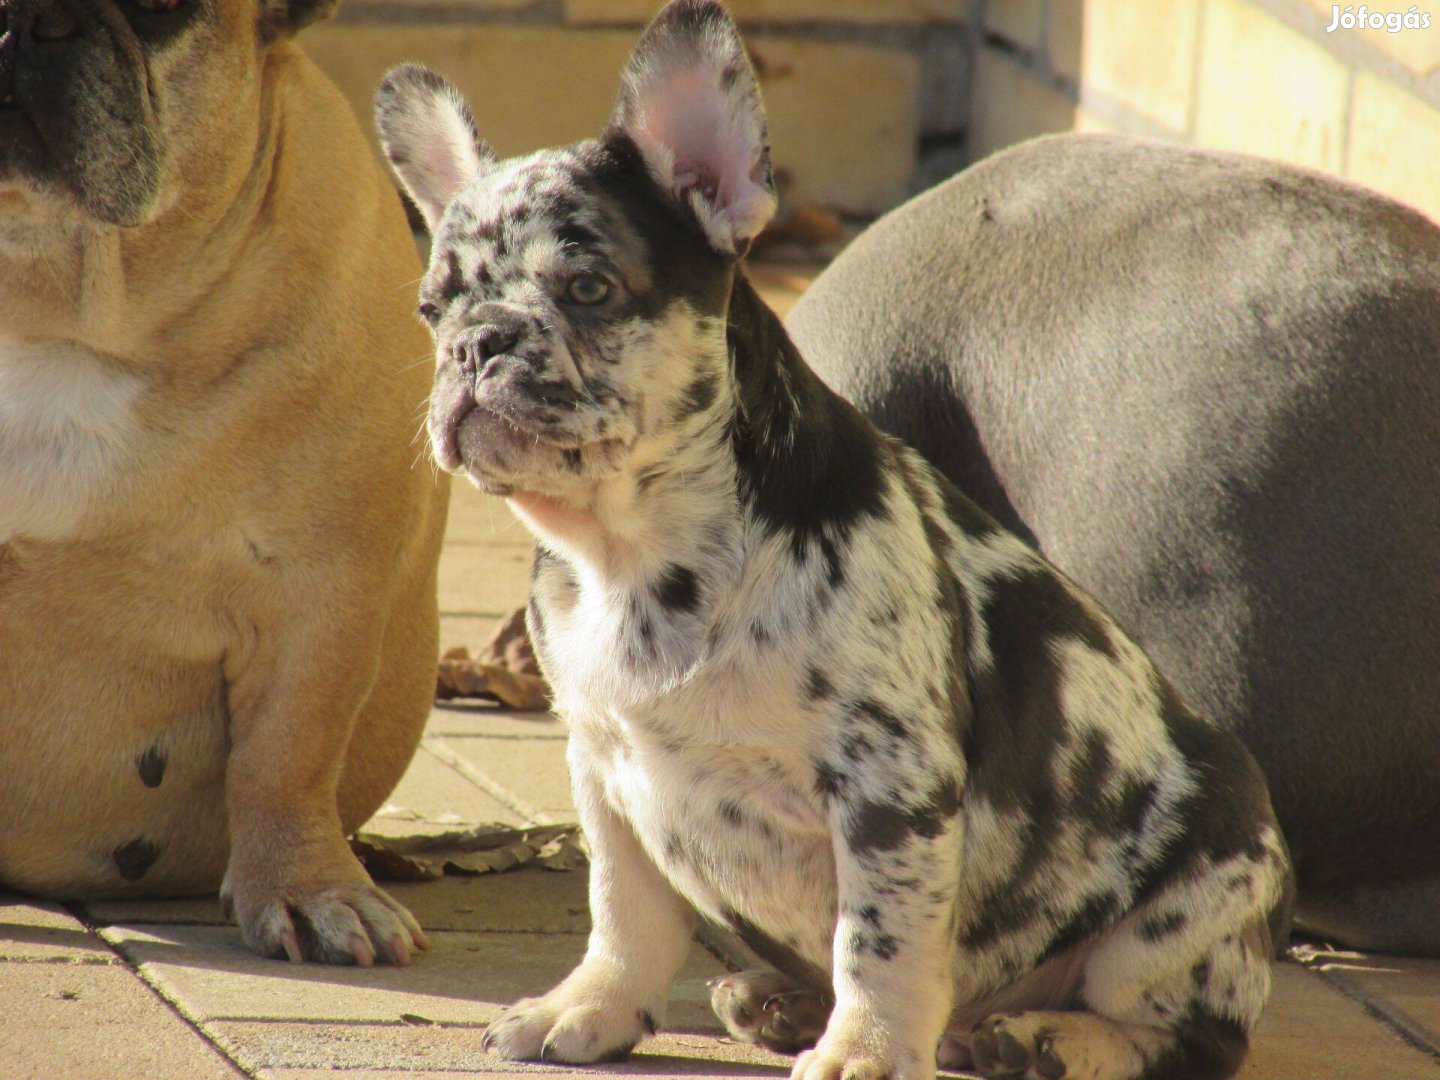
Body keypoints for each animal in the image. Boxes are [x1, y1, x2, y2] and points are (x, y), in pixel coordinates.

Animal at [377, 4, 1290, 1077]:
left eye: (590, 288)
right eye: (430, 309)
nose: (475, 343)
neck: (638, 554)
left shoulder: (888, 785)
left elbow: (881, 938)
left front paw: (869, 1051)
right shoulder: (603, 767)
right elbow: (625, 909)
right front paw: (591, 1006)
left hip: (1184, 914)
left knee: (1181, 1035)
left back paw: (1045, 1038)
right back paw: (778, 1000)